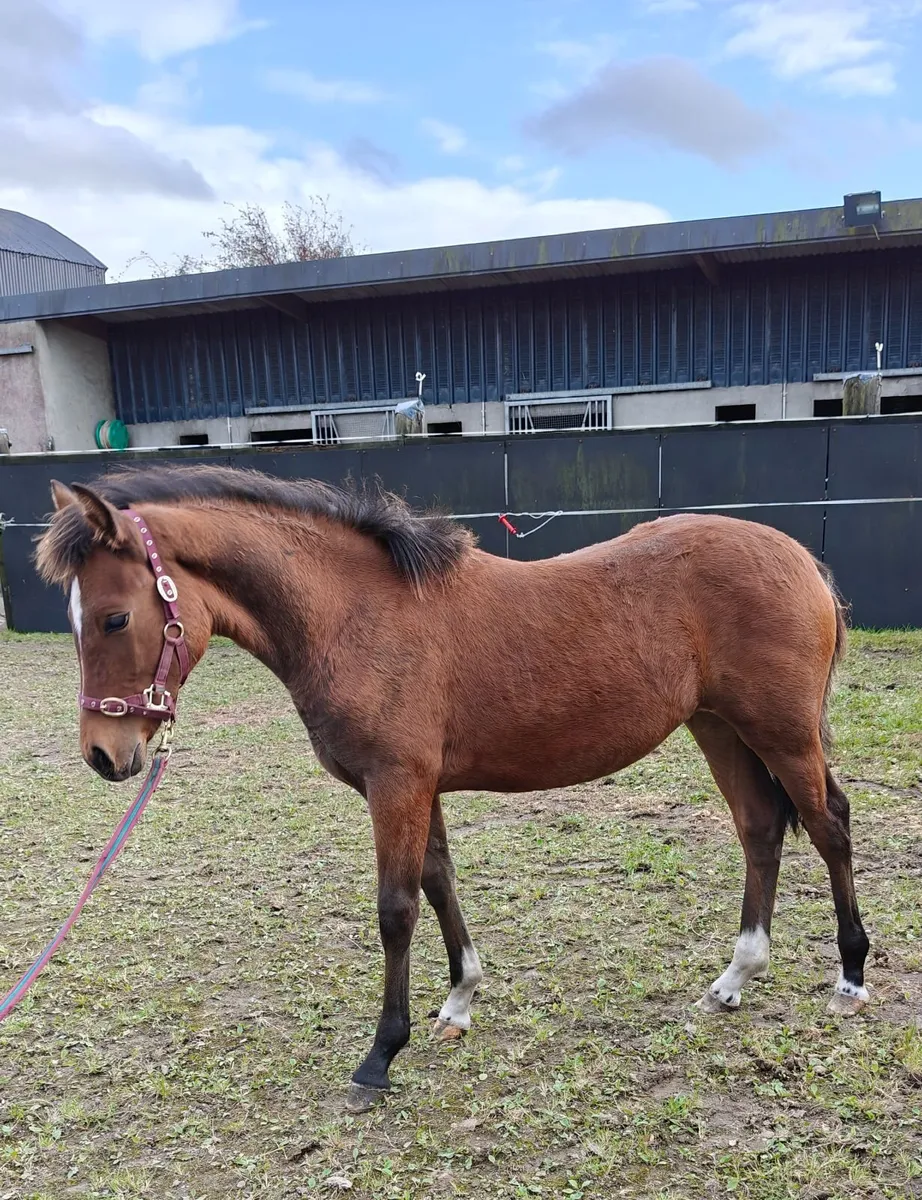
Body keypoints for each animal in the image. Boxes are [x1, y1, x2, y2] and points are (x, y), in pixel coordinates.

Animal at [35, 466, 870, 1111]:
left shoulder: (395, 783)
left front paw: (379, 1057)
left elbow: (396, 910)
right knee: (761, 828)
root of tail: (800, 557)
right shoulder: (419, 785)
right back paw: (736, 977)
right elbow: (439, 882)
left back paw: (851, 977)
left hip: (781, 731)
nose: (104, 755)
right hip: (719, 727)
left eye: (114, 618)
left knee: (829, 824)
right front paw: (460, 1001)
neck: (358, 613)